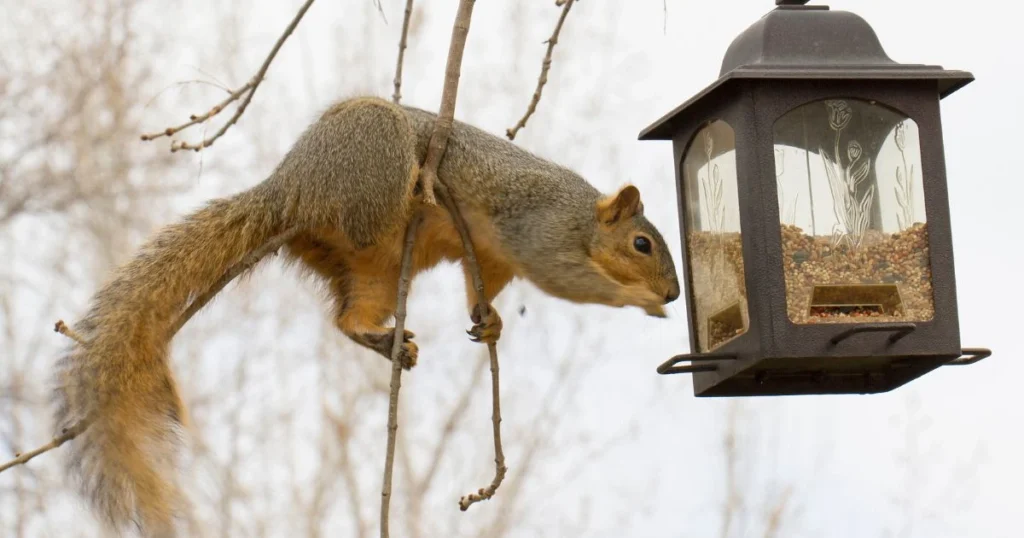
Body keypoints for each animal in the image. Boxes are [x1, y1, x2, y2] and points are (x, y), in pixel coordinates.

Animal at [54, 94, 679, 532]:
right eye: (642, 244)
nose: (673, 294)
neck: (581, 216)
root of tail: (290, 188)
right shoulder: (539, 233)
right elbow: (566, 279)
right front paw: (639, 301)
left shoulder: (492, 257)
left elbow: (480, 289)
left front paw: (492, 321)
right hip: (374, 155)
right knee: (369, 208)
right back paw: (417, 187)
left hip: (371, 269)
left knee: (349, 318)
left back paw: (383, 339)